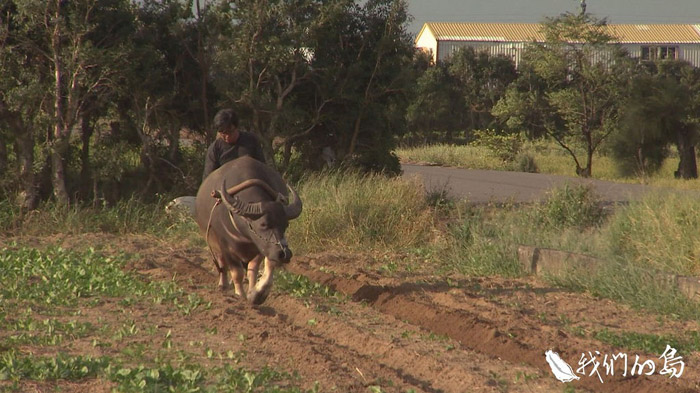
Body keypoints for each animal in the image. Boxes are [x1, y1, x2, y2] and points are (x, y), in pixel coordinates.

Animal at [194, 156, 300, 304]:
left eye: (286, 225)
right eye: (263, 224)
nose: (285, 254)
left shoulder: (262, 247)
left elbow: (255, 268)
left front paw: (256, 293)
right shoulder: (226, 247)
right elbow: (236, 272)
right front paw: (240, 295)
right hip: (213, 243)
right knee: (222, 264)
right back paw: (223, 285)